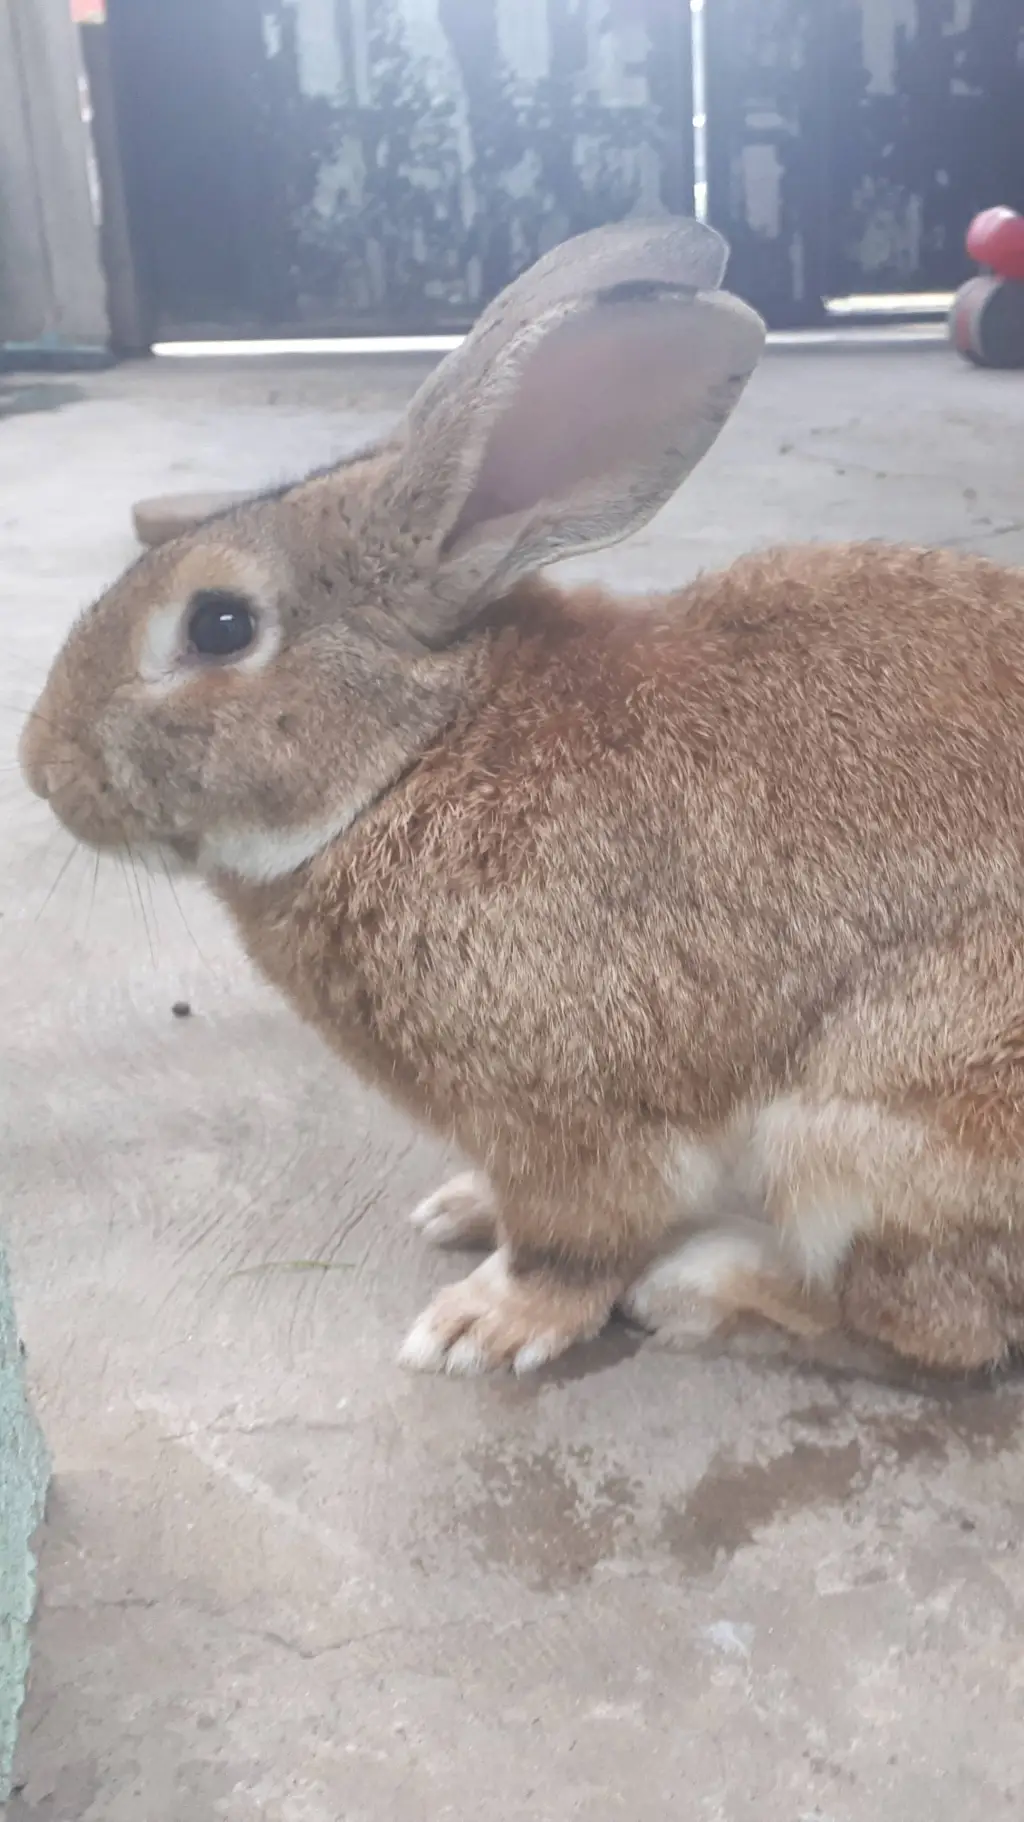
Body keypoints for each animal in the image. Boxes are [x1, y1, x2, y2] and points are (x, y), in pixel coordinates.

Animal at [22, 214, 1024, 1381]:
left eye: (219, 625)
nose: (41, 766)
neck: (415, 752)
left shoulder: (568, 1116)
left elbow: (570, 1242)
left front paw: (481, 1324)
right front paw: (461, 1208)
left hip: (867, 1140)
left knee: (934, 1325)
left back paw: (703, 1293)